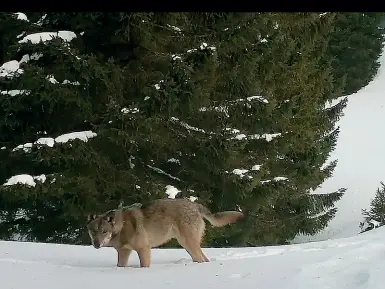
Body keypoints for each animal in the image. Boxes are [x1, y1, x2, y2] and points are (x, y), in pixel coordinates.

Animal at [86, 197, 243, 266]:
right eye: (94, 231)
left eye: (104, 231)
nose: (96, 244)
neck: (122, 226)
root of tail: (194, 205)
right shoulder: (124, 251)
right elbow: (120, 265)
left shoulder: (144, 249)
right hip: (186, 245)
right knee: (203, 259)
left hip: (187, 243)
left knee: (201, 259)